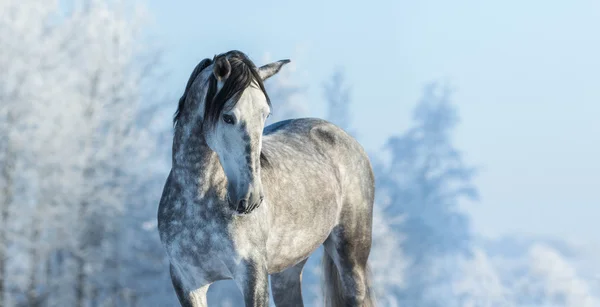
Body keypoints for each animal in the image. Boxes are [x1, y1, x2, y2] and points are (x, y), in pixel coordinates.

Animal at [159, 50, 376, 307]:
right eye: (228, 117)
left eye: (265, 115)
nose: (249, 197)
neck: (198, 201)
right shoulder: (187, 282)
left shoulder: (253, 274)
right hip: (287, 270)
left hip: (351, 258)